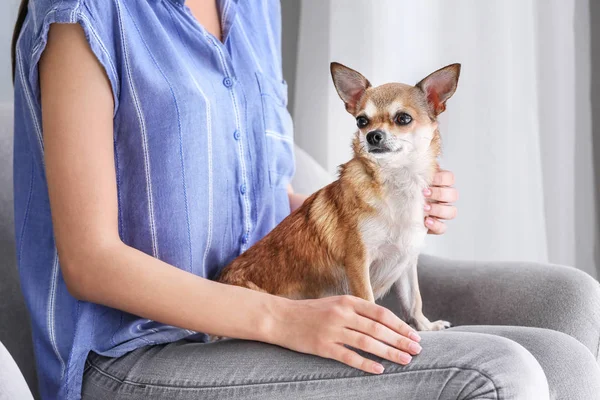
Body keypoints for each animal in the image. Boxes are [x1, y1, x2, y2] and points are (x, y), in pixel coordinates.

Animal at [218, 62, 462, 332]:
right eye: (361, 121)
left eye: (403, 118)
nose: (372, 135)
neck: (396, 181)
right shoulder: (358, 261)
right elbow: (367, 300)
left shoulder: (407, 262)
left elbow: (413, 301)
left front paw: (425, 326)